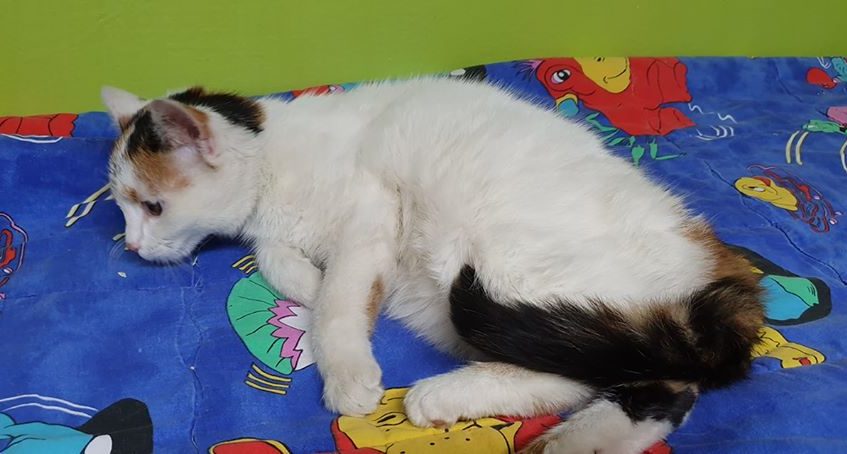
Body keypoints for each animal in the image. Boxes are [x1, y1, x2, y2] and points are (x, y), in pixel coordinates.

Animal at [101, 79, 764, 454]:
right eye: (124, 207)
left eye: (152, 206)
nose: (131, 246)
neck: (274, 157)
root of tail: (720, 265)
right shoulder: (281, 232)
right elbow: (279, 260)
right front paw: (305, 283)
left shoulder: (371, 213)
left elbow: (339, 302)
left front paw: (345, 371)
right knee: (627, 378)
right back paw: (565, 437)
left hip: (501, 262)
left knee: (638, 373)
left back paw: (457, 399)